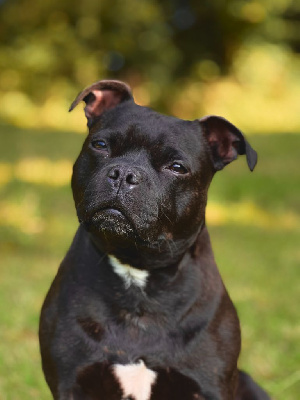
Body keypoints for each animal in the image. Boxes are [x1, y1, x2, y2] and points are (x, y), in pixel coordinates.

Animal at [38, 79, 270, 398]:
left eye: (177, 167)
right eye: (100, 145)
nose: (124, 173)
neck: (137, 271)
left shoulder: (211, 384)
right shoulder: (70, 379)